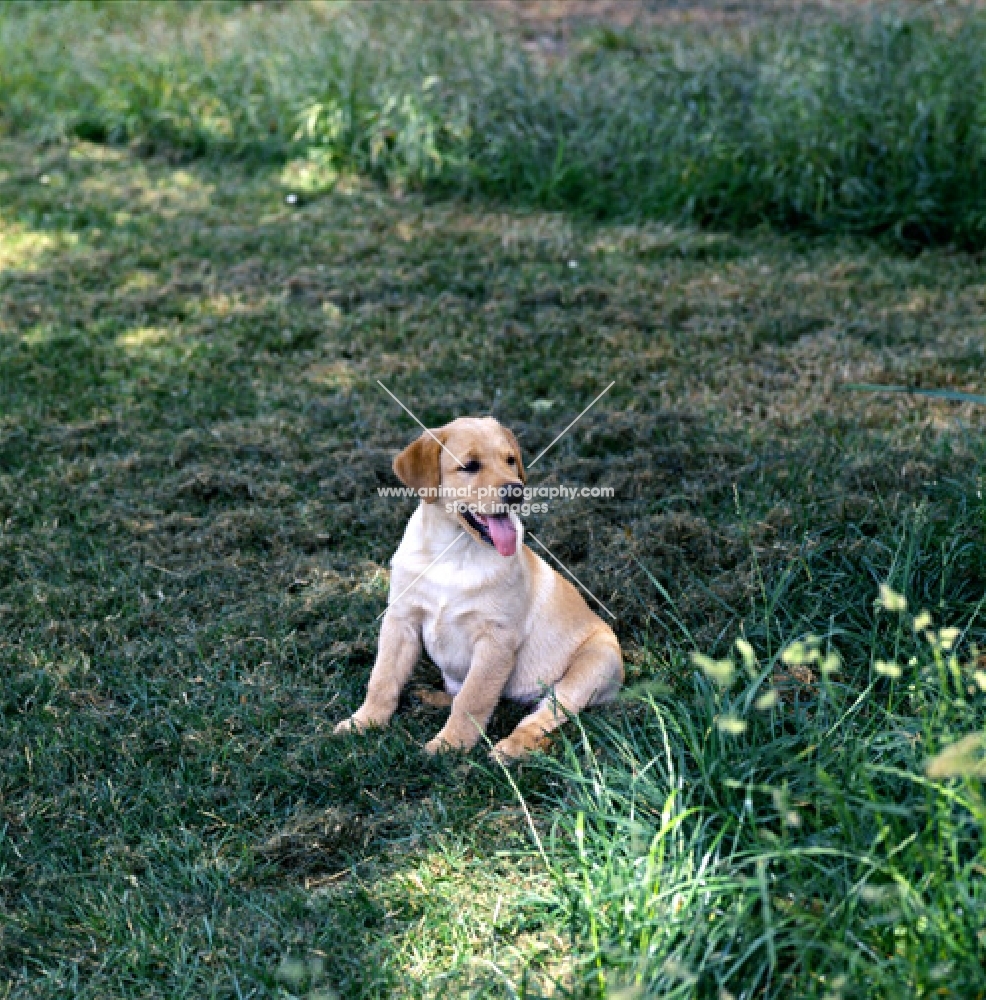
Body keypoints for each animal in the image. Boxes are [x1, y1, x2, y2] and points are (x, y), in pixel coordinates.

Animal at [334, 418, 620, 760]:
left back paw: (511, 748)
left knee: (543, 714)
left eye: (510, 460)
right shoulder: (401, 619)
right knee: (462, 693)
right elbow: (383, 678)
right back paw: (429, 697)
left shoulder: (496, 638)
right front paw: (364, 721)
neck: (453, 552)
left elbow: (475, 696)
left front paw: (450, 743)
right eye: (470, 466)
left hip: (593, 663)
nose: (516, 491)